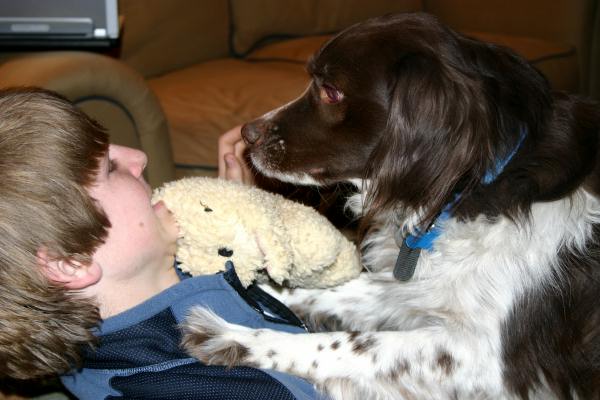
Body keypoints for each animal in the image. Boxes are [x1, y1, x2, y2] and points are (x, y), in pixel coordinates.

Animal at [182, 12, 600, 400]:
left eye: (330, 91)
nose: (247, 134)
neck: (473, 187)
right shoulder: (415, 289)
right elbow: (330, 291)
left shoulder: (485, 359)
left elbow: (349, 343)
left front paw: (236, 338)